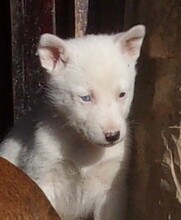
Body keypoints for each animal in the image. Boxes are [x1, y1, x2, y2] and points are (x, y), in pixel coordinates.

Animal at [0, 24, 145, 219]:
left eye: (122, 94)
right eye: (85, 98)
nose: (113, 135)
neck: (82, 145)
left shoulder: (111, 190)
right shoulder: (43, 176)